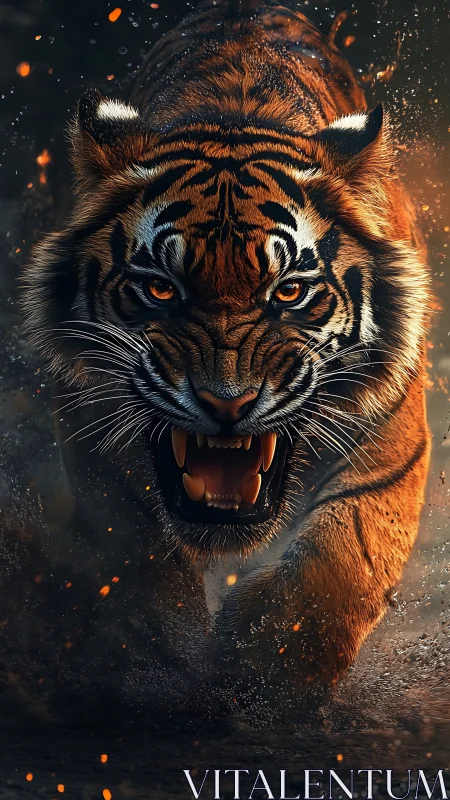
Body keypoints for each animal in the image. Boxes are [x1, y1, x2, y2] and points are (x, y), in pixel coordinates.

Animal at [22, 0, 431, 705]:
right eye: (160, 288)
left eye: (289, 291)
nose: (227, 404)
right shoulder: (90, 427)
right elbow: (134, 549)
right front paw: (161, 658)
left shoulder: (391, 435)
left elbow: (344, 551)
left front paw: (270, 672)